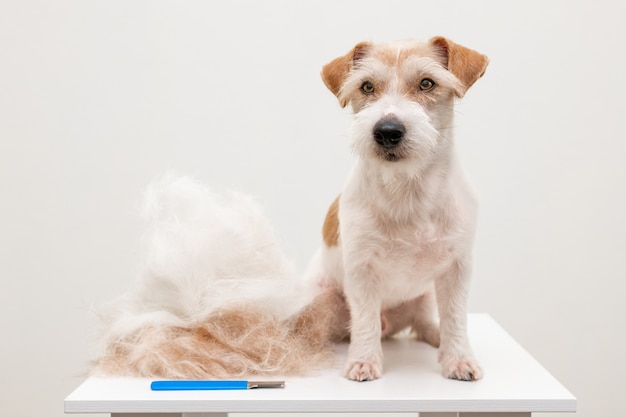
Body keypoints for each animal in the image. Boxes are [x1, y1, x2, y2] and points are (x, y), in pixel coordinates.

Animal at [306, 37, 488, 382]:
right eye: (366, 86)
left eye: (427, 83)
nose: (387, 130)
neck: (407, 189)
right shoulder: (361, 270)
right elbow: (364, 320)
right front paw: (364, 360)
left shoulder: (458, 268)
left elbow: (456, 317)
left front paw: (459, 358)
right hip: (321, 299)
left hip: (425, 295)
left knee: (424, 322)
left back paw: (436, 335)